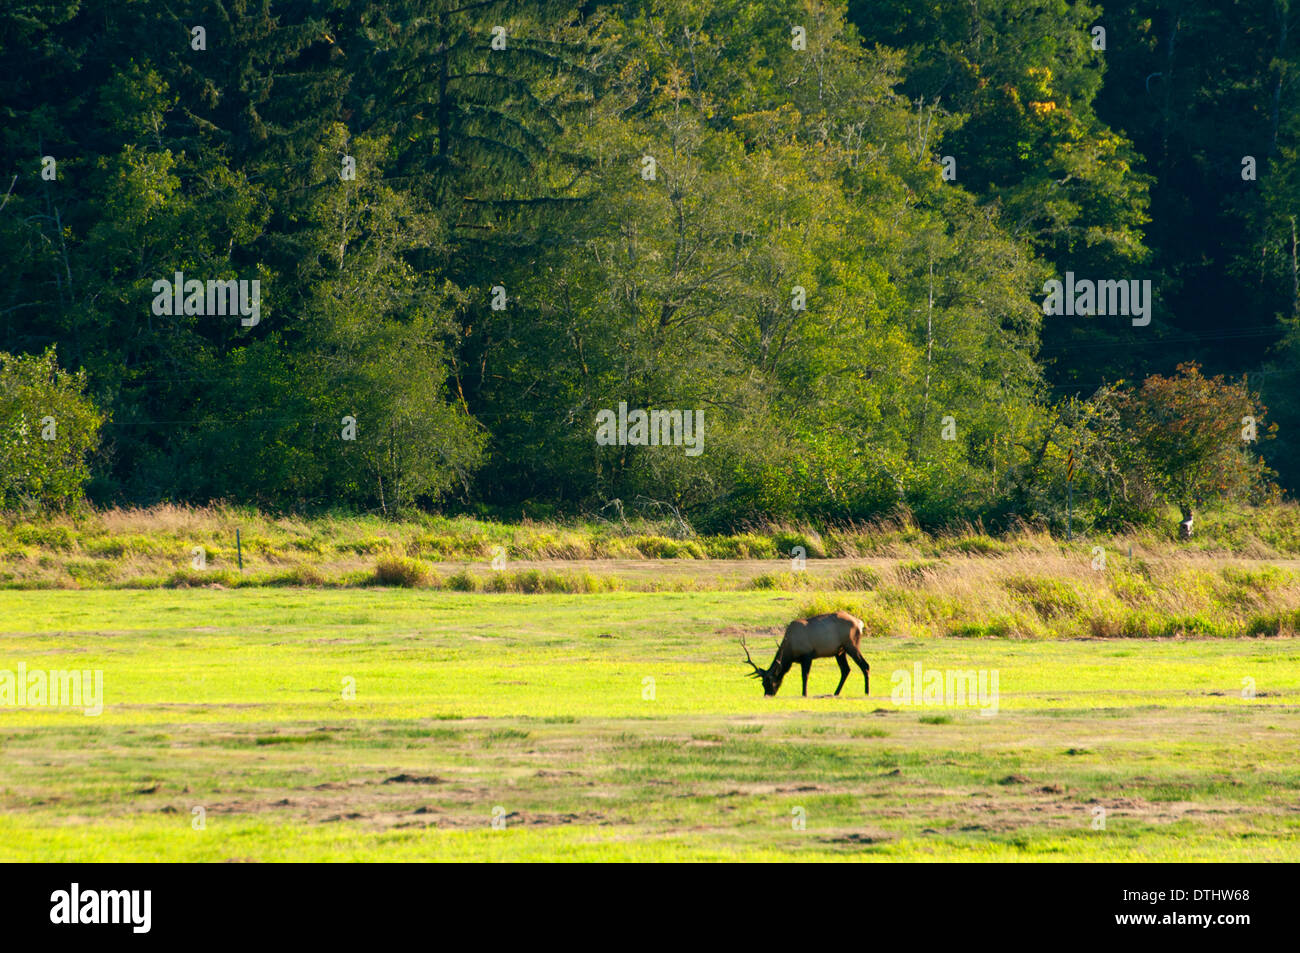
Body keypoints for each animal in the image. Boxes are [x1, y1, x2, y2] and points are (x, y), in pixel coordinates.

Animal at [740, 610, 870, 697]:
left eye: (771, 682)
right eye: (763, 683)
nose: (767, 695)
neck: (790, 649)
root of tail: (860, 623)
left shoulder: (807, 655)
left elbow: (805, 676)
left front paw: (804, 693)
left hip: (851, 645)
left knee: (865, 665)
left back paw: (867, 692)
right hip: (840, 651)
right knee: (846, 670)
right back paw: (836, 693)